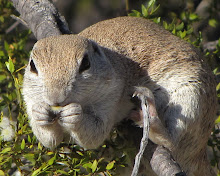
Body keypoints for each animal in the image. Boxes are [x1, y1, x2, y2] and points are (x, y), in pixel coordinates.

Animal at [22, 16, 217, 176]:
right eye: (32, 65)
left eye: (85, 64)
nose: (56, 98)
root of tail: (201, 155)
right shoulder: (29, 97)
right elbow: (50, 141)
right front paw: (40, 114)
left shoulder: (111, 95)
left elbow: (95, 133)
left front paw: (75, 114)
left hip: (191, 98)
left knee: (173, 144)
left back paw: (152, 119)